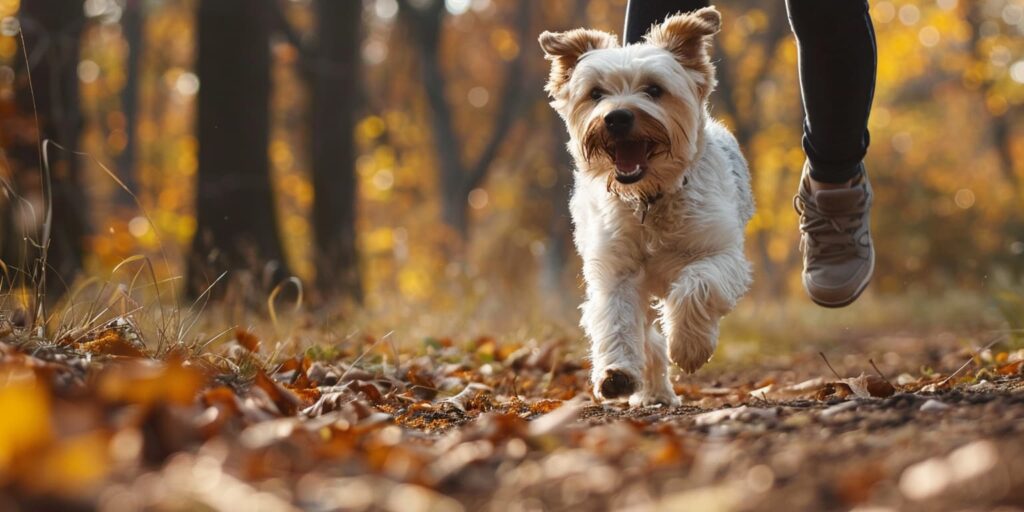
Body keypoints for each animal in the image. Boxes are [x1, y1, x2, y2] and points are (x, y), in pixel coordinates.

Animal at [544, 7, 753, 407]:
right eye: (596, 94)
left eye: (654, 90)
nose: (617, 117)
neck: (649, 198)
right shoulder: (616, 271)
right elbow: (617, 319)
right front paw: (616, 374)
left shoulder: (720, 254)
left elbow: (697, 286)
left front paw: (689, 347)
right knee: (649, 339)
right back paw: (652, 391)